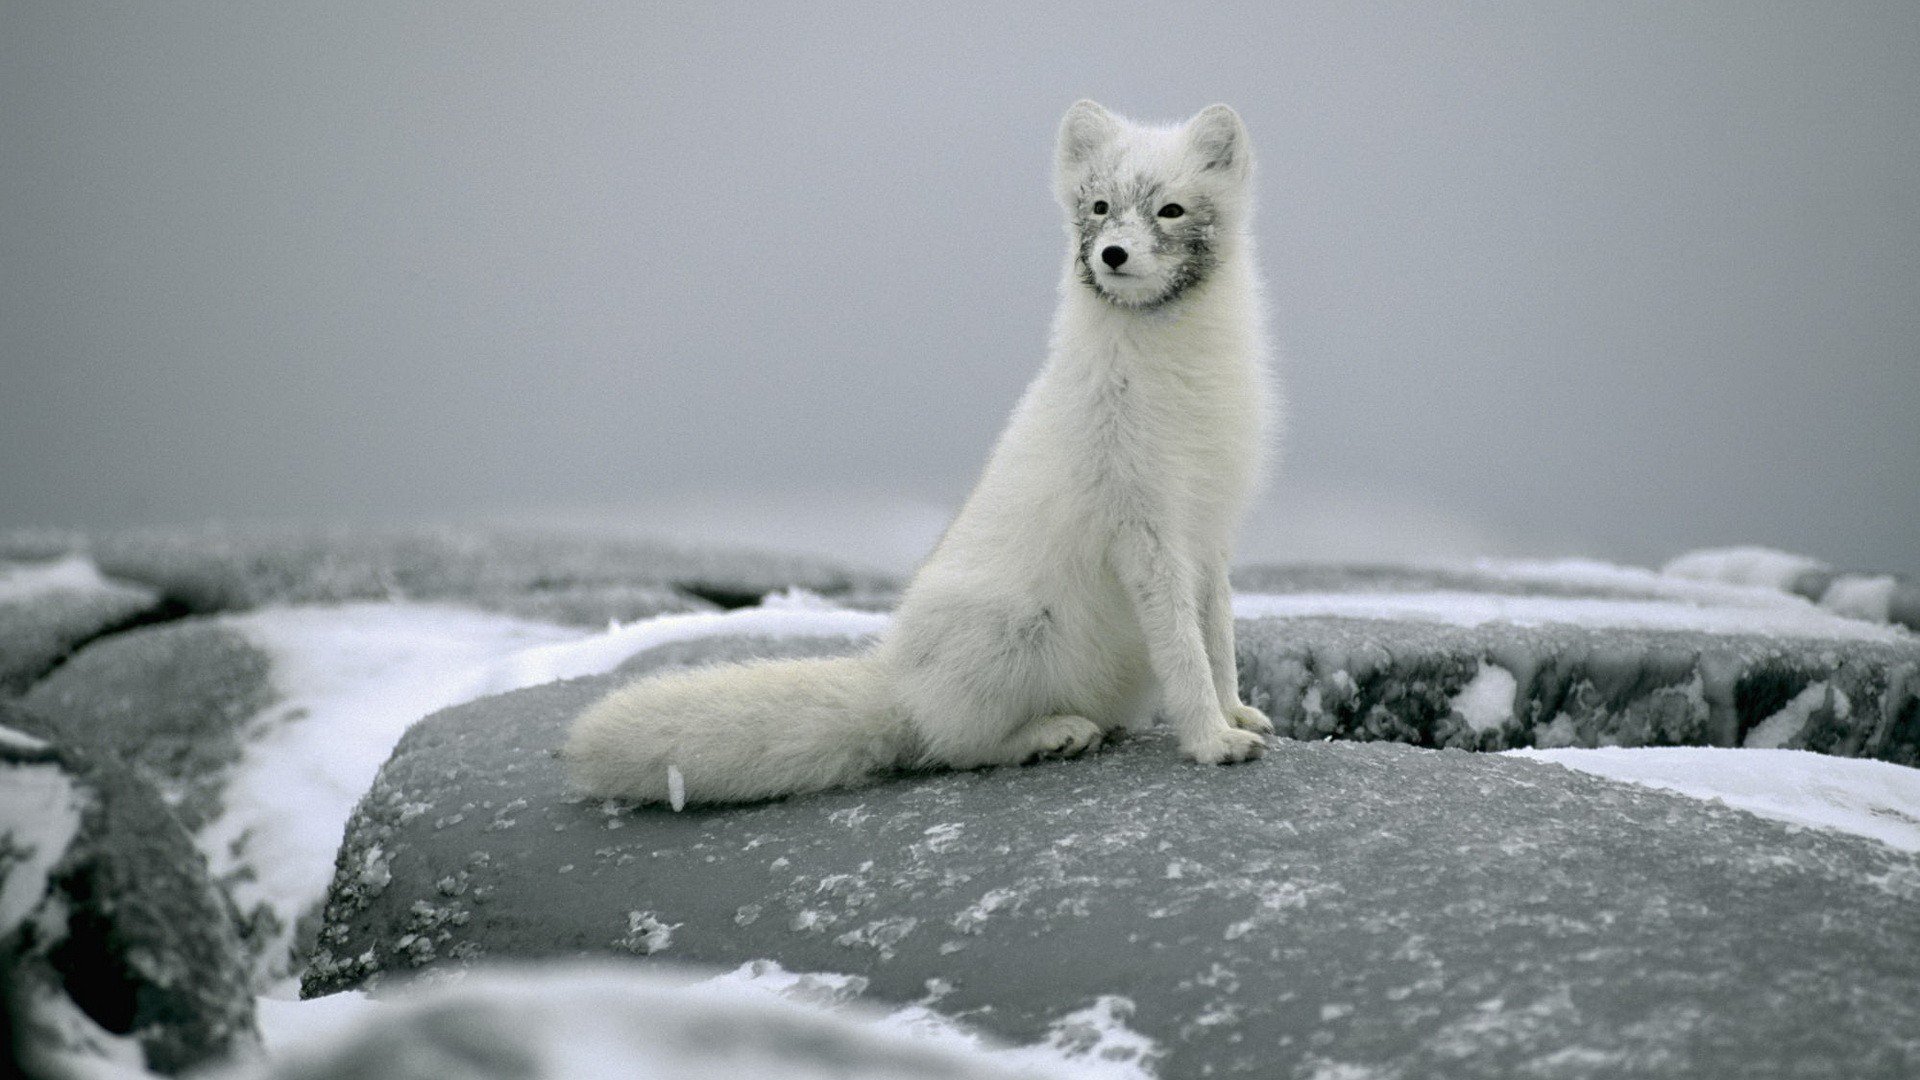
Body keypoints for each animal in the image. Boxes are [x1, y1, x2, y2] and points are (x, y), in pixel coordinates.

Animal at [565, 100, 1278, 805]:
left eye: (1171, 210)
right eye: (1100, 206)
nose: (1113, 253)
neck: (1178, 377)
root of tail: (897, 682)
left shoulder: (1209, 529)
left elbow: (1218, 637)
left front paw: (1235, 712)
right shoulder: (1144, 530)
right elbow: (1184, 651)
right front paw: (1212, 740)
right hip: (1011, 630)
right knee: (954, 746)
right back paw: (1051, 734)